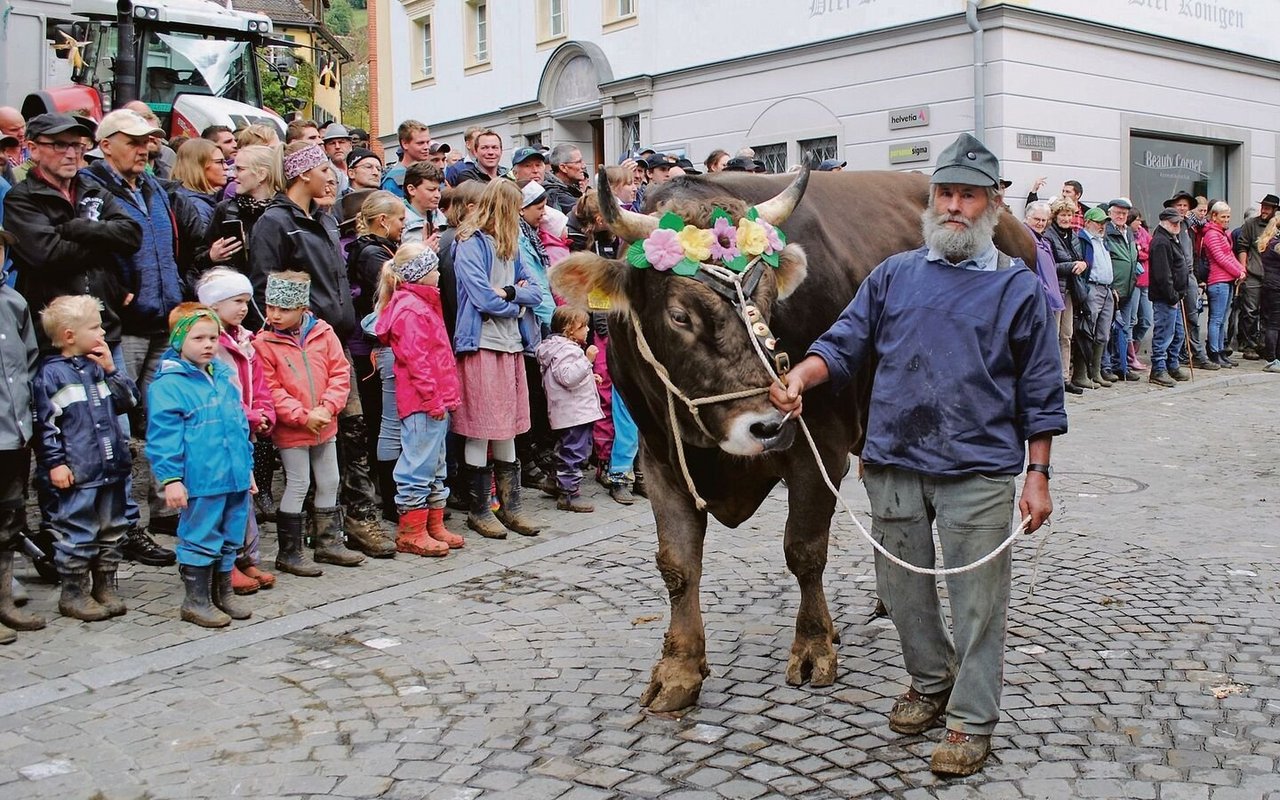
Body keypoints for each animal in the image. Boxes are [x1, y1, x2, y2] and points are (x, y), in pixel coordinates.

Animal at [555, 168, 1034, 711]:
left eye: (768, 302)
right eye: (680, 315)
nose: (768, 425)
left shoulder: (819, 446)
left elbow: (804, 550)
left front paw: (813, 646)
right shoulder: (659, 457)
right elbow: (677, 565)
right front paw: (679, 667)